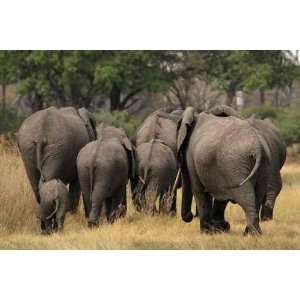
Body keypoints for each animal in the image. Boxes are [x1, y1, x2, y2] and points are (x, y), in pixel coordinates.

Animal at [176, 106, 272, 236]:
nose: (190, 216)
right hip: (263, 164)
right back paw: (252, 233)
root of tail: (257, 147)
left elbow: (199, 191)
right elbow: (221, 196)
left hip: (235, 165)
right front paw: (220, 228)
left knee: (246, 198)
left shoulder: (191, 156)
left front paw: (207, 232)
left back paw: (252, 234)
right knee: (258, 195)